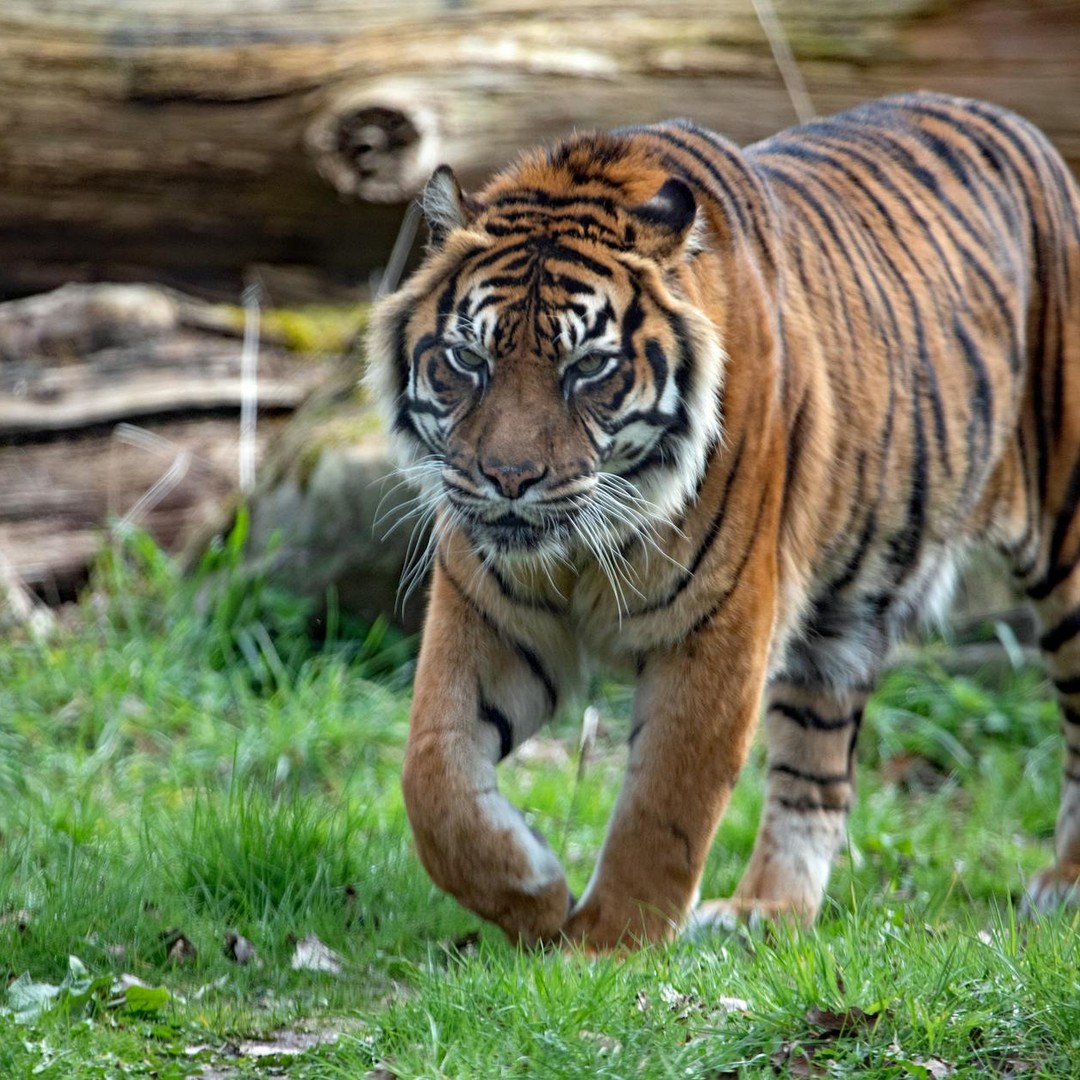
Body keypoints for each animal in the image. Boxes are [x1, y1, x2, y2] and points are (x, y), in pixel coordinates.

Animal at [365, 91, 1080, 949]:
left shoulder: (722, 622)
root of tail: (1020, 124)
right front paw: (531, 890)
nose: (509, 479)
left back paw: (1064, 883)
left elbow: (666, 803)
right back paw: (766, 912)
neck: (584, 548)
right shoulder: (487, 611)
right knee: (816, 767)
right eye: (469, 361)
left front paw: (605, 946)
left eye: (589, 367)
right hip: (842, 618)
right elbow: (431, 776)